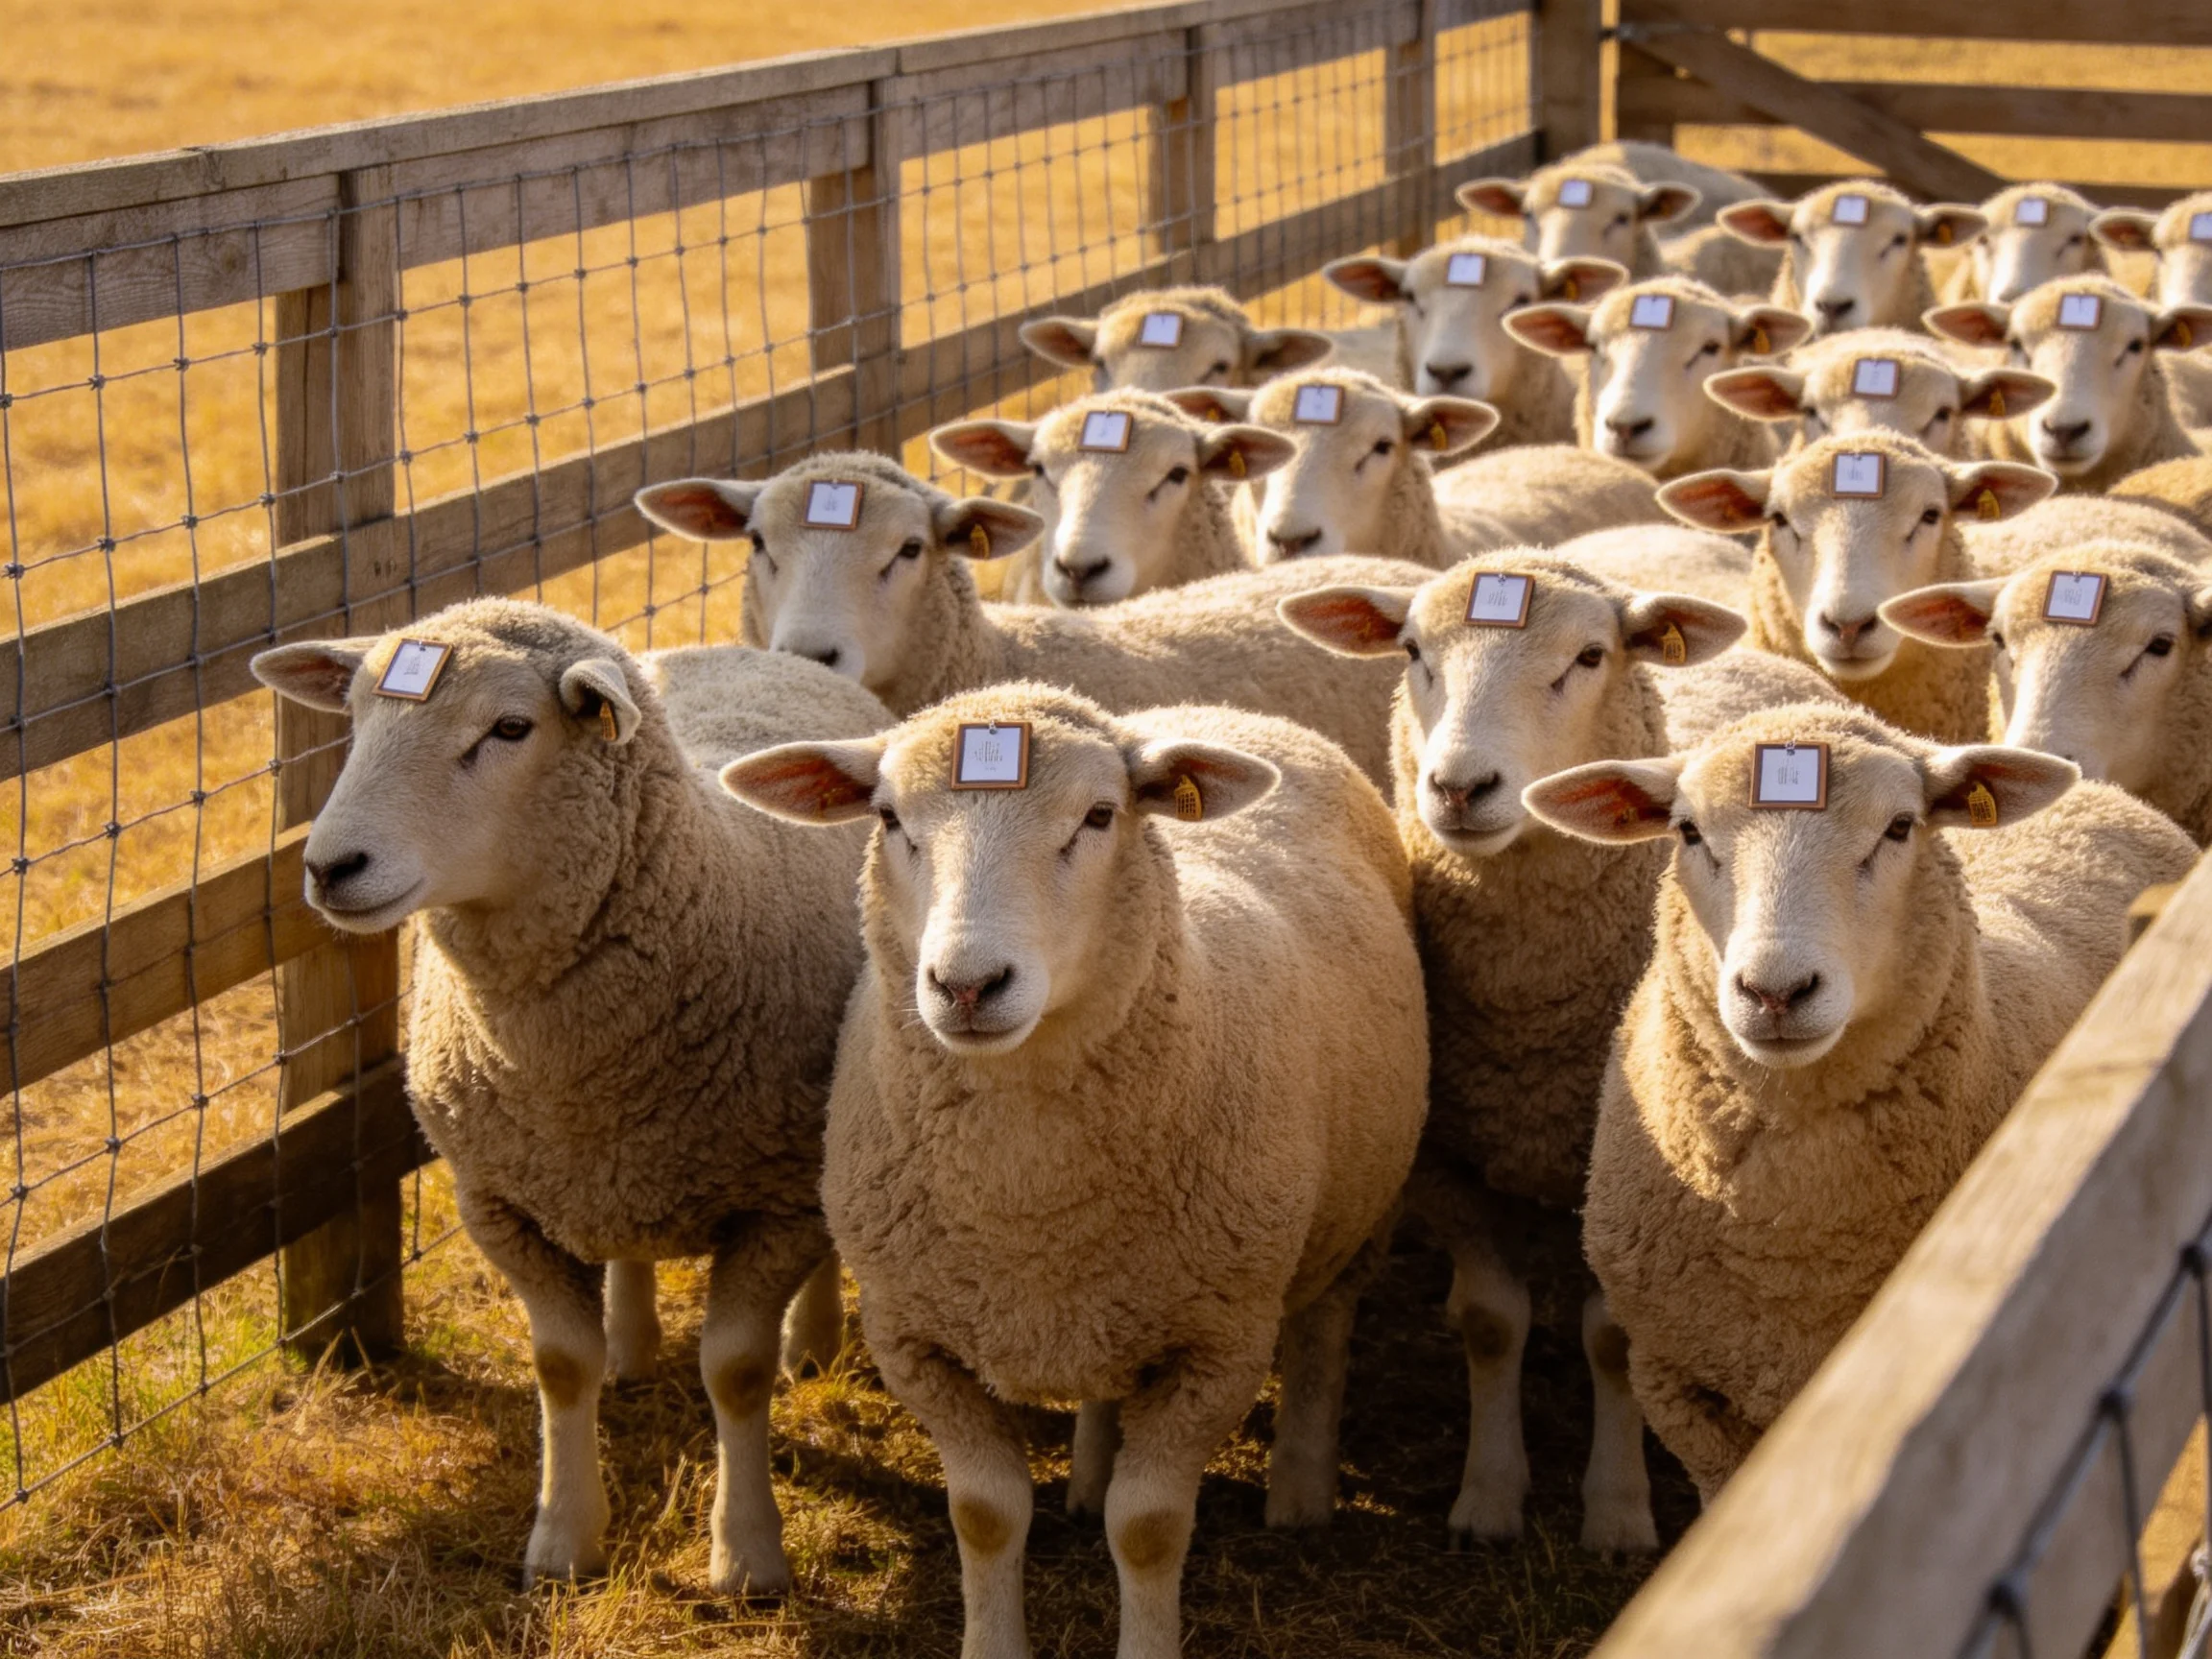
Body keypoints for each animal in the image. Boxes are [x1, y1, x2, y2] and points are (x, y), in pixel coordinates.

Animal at [247, 602, 895, 1595]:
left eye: (511, 728)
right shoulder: (502, 1201)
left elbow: (736, 1372)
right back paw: (631, 1345)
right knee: (623, 1248)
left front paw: (747, 1557)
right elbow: (559, 1366)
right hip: (604, 1177)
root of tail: (747, 648)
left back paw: (812, 1342)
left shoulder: (774, 1202)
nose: (329, 867)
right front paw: (563, 1543)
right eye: (354, 715)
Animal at [722, 684, 1427, 1659]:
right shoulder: (916, 1342)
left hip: (1357, 1214)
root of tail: (1216, 707)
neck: (1031, 1198)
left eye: (1099, 817)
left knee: (1325, 1328)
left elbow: (1149, 1528)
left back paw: (1300, 1491)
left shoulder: (1217, 1346)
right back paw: (1091, 1473)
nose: (967, 985)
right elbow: (984, 1516)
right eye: (890, 818)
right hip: (1110, 1304)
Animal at [1278, 556, 1835, 1551]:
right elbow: (1493, 1322)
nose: (1459, 788)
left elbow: (1611, 1338)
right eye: (1411, 651)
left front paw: (1616, 1511)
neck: (1528, 1011)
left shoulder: (1622, 1167)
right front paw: (1489, 1498)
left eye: (1588, 656)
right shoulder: (1452, 1163)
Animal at [1523, 702, 2197, 1496]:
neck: (1793, 1232)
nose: (1776, 992)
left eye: (1900, 826)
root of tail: (2100, 790)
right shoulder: (1683, 1391)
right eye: (1687, 831)